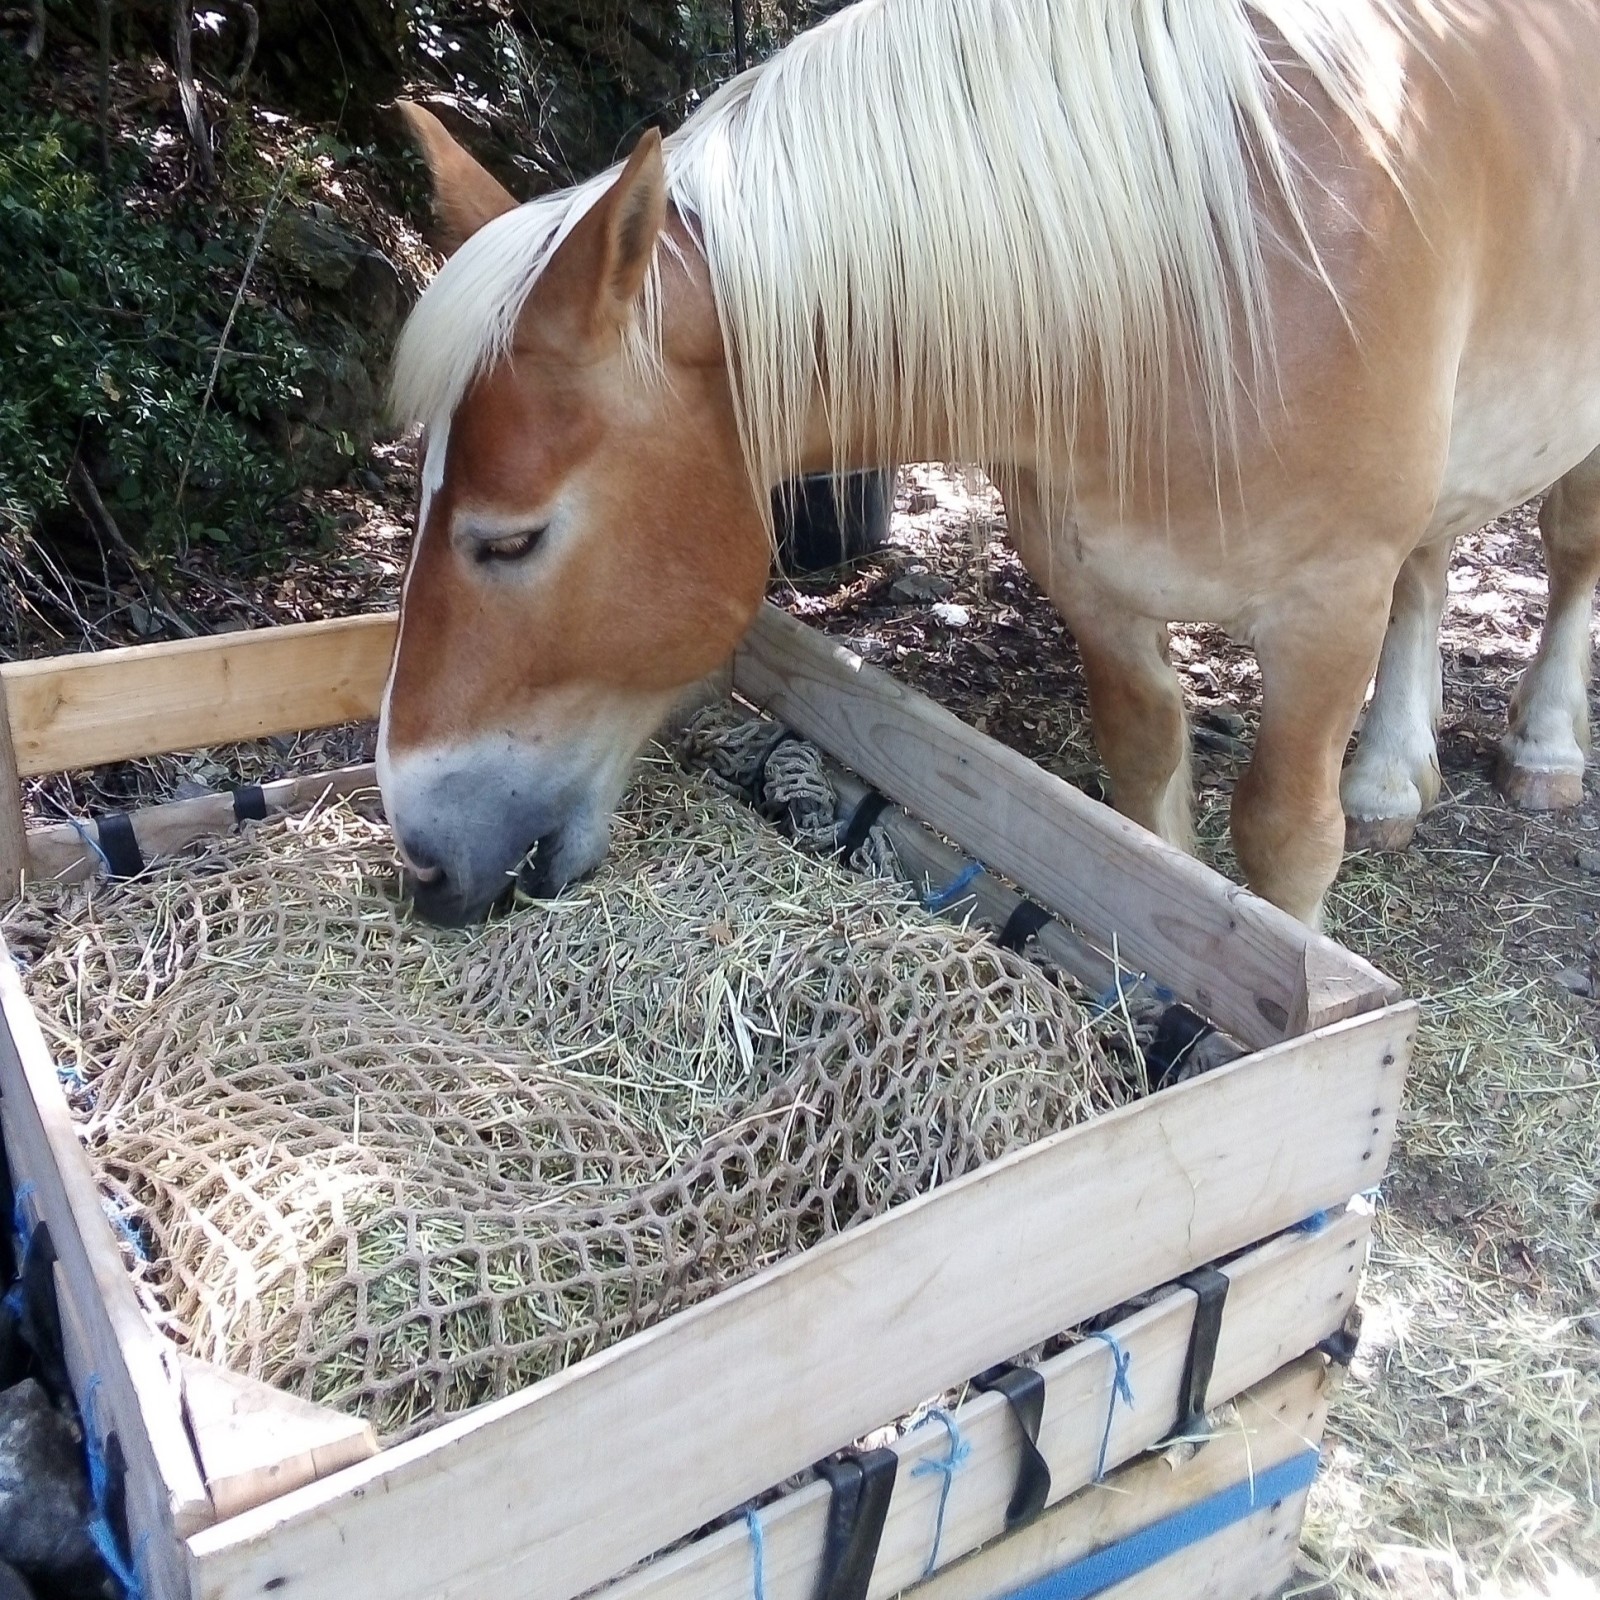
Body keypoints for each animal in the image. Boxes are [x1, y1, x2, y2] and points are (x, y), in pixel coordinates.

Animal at [377, 0, 1600, 929]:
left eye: (512, 539)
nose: (424, 857)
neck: (1202, 270)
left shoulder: (1324, 610)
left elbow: (1285, 842)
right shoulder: (1096, 589)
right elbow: (1146, 816)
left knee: (1566, 555)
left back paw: (1540, 750)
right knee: (1432, 561)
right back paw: (1392, 774)